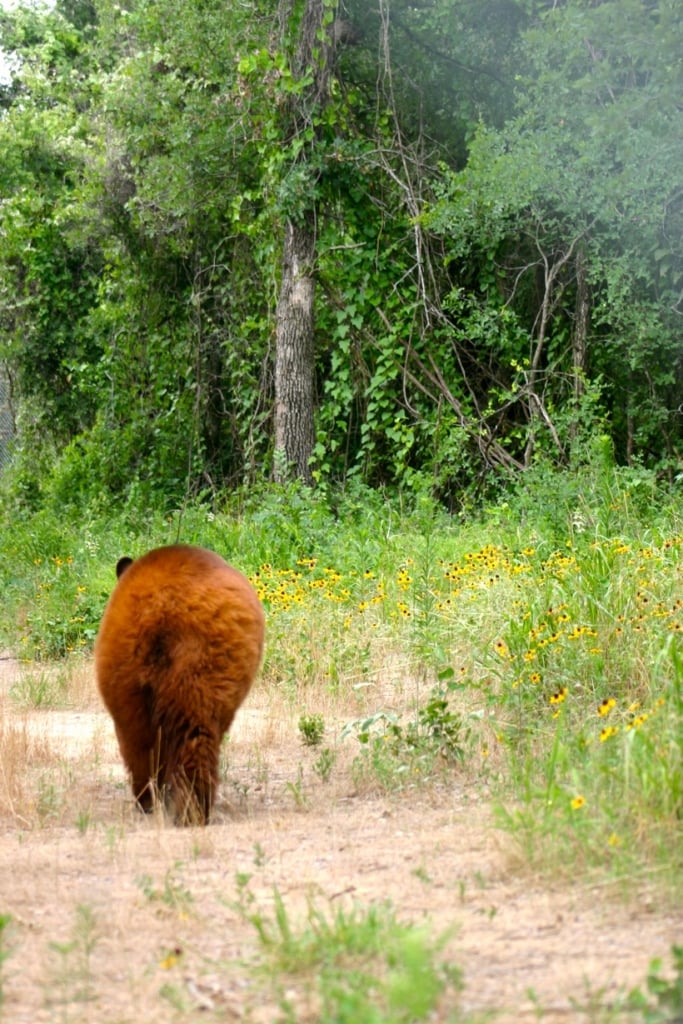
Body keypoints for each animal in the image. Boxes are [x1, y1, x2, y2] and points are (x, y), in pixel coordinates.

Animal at [94, 544, 266, 823]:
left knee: (137, 737)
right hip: (206, 660)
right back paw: (190, 805)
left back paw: (155, 800)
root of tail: (162, 607)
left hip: (124, 669)